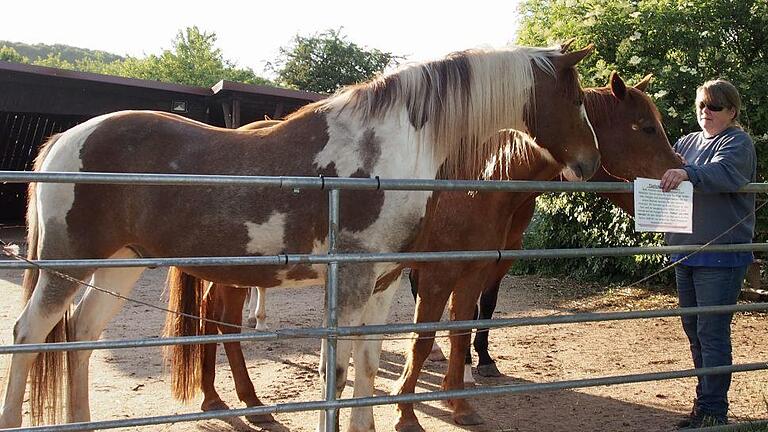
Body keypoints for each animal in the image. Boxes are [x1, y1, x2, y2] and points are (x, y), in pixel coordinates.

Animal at [0, 43, 600, 428]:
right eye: (577, 99)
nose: (590, 163)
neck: (384, 150)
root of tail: (62, 141)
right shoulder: (352, 281)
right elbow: (339, 368)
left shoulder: (383, 285)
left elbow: (366, 365)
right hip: (67, 266)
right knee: (30, 335)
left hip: (120, 264)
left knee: (80, 335)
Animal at [392, 72, 680, 430]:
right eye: (647, 128)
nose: (680, 171)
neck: (472, 185)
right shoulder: (439, 274)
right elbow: (422, 340)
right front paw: (405, 415)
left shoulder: (477, 269)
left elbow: (465, 326)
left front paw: (461, 401)